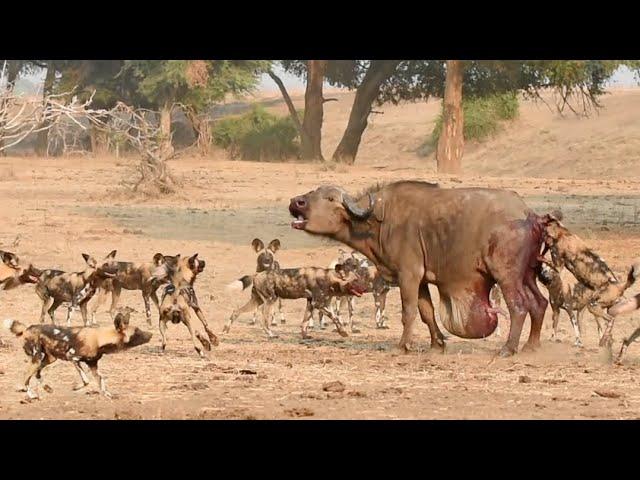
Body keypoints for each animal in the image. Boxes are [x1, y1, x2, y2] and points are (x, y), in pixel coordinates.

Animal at [5, 310, 152, 400]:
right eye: (137, 331)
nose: (151, 334)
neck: (100, 339)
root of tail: (26, 328)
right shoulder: (72, 357)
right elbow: (86, 381)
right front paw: (75, 387)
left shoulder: (93, 365)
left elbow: (101, 381)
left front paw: (108, 395)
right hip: (38, 357)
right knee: (26, 375)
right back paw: (31, 394)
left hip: (49, 359)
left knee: (37, 373)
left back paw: (47, 388)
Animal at [224, 264, 364, 340]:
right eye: (355, 280)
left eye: (359, 279)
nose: (365, 287)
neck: (329, 278)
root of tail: (256, 274)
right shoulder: (318, 304)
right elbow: (336, 318)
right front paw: (343, 332)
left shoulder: (311, 303)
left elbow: (305, 322)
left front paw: (305, 336)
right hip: (270, 301)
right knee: (264, 321)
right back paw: (271, 335)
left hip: (256, 301)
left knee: (236, 311)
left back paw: (226, 329)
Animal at [290, 180, 552, 356]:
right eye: (313, 192)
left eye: (330, 199)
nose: (296, 202)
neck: (380, 220)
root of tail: (530, 214)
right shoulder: (422, 280)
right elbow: (427, 312)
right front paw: (437, 344)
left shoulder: (408, 275)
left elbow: (409, 312)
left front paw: (403, 345)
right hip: (528, 275)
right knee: (539, 303)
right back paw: (531, 346)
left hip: (507, 277)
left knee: (519, 306)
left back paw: (508, 348)